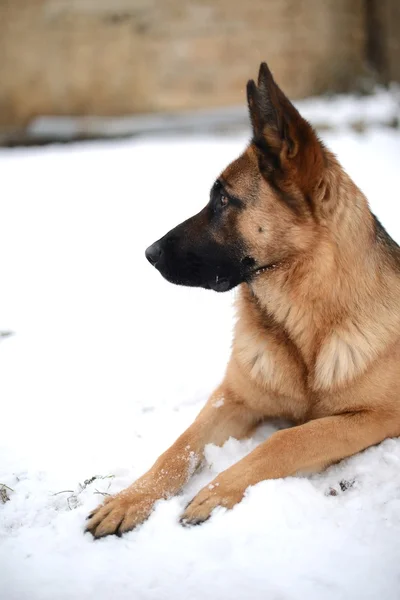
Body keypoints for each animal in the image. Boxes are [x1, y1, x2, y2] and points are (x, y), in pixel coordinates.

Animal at [86, 62, 400, 540]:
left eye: (222, 200)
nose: (149, 253)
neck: (303, 325)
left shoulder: (379, 416)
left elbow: (289, 437)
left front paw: (215, 492)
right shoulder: (231, 398)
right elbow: (179, 446)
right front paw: (128, 499)